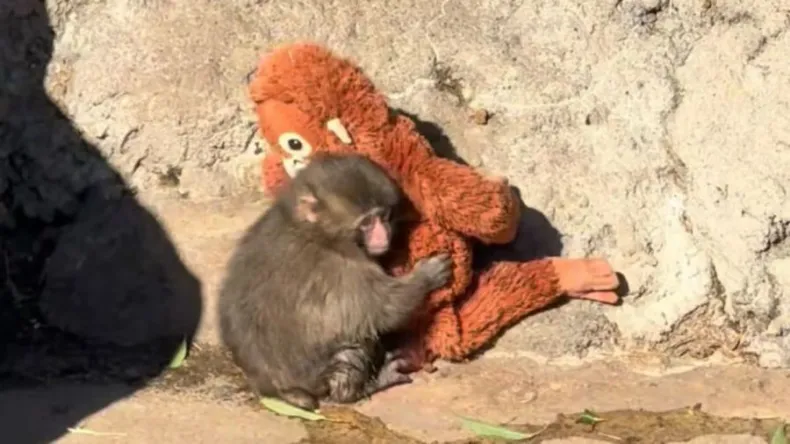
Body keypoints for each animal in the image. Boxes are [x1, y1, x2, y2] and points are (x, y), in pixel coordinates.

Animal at [217, 153, 451, 410]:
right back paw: (359, 388)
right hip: (319, 376)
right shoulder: (344, 268)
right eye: (367, 222)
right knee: (355, 343)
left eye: (383, 216)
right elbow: (385, 309)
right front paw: (427, 275)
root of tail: (273, 387)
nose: (384, 236)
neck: (314, 230)